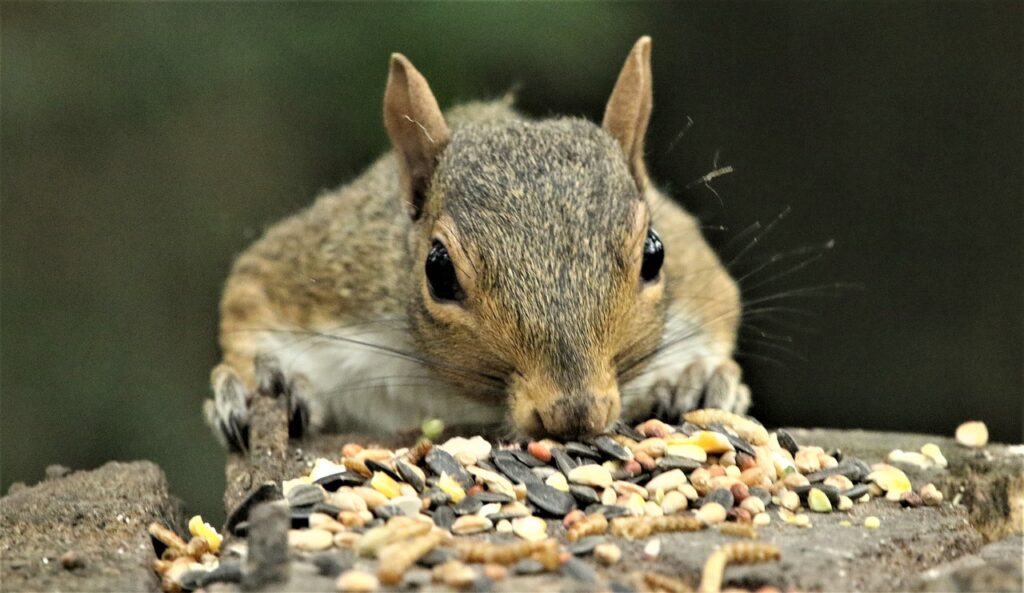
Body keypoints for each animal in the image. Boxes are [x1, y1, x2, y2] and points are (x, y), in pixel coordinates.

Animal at [201, 35, 745, 450]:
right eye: (438, 271)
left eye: (654, 255)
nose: (574, 413)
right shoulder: (333, 273)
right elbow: (247, 299)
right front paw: (255, 382)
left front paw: (699, 378)